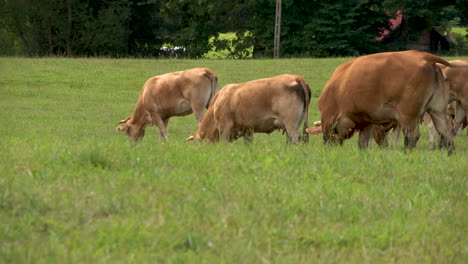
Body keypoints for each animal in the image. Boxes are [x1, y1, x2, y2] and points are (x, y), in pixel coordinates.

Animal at [316, 49, 462, 155]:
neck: (339, 85)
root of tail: (424, 56)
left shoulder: (329, 118)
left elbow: (328, 137)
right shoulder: (367, 122)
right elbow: (362, 143)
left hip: (408, 116)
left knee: (412, 137)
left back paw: (406, 153)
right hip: (438, 111)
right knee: (447, 133)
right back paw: (450, 153)